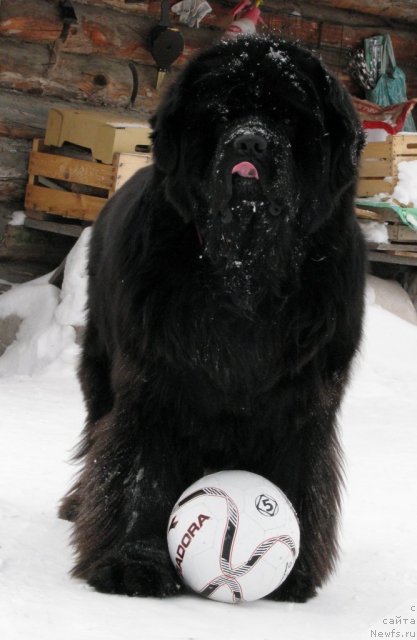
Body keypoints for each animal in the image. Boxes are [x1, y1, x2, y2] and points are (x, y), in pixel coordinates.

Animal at [60, 35, 366, 604]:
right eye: (221, 115)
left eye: (289, 118)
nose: (251, 143)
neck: (244, 276)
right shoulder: (154, 383)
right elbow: (139, 473)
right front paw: (132, 563)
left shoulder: (302, 401)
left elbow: (299, 473)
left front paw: (295, 577)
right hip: (100, 366)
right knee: (96, 434)